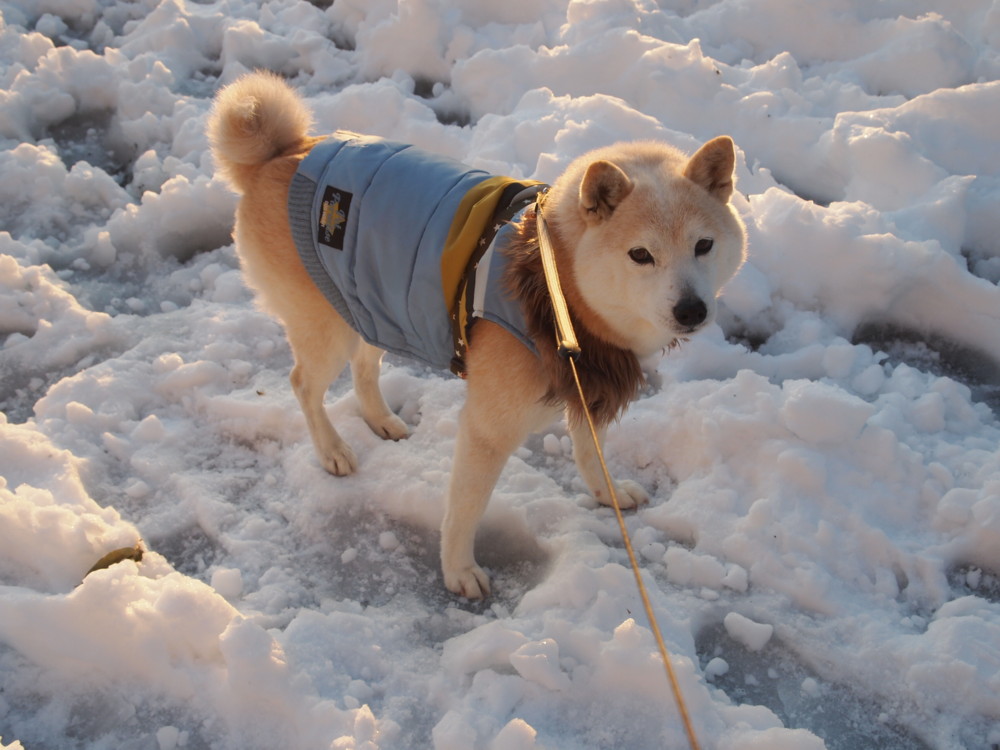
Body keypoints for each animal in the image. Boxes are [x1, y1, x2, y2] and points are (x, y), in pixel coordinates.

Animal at [207, 70, 748, 600]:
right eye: (641, 255)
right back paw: (333, 450)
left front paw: (608, 494)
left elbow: (589, 453)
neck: (552, 284)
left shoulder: (585, 384)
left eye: (704, 245)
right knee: (303, 384)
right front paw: (458, 570)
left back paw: (381, 420)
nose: (691, 310)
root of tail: (283, 152)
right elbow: (466, 508)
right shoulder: (489, 427)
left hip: (373, 304)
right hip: (327, 329)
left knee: (363, 367)